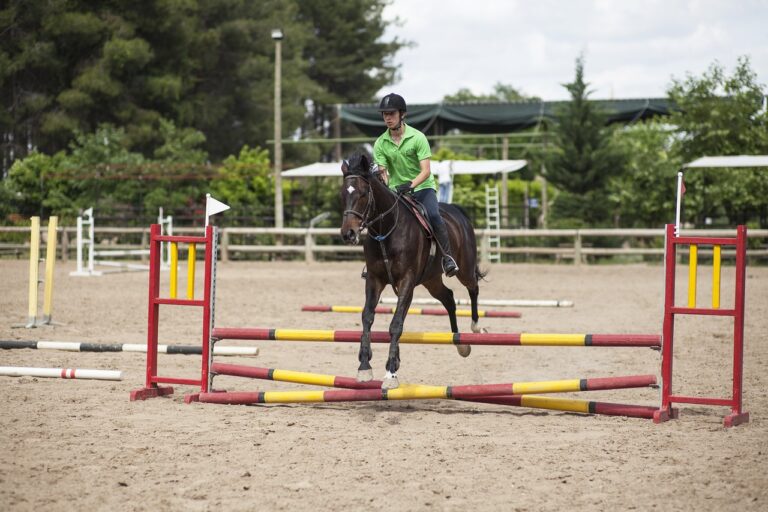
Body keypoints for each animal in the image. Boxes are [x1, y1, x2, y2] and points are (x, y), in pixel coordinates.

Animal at [338, 151, 484, 388]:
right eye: (343, 194)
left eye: (363, 194)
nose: (348, 234)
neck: (387, 229)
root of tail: (456, 210)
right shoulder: (375, 279)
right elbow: (367, 316)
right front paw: (364, 366)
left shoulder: (406, 281)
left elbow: (396, 324)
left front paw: (391, 372)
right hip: (431, 280)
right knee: (449, 298)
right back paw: (461, 344)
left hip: (464, 269)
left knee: (473, 288)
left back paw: (476, 327)